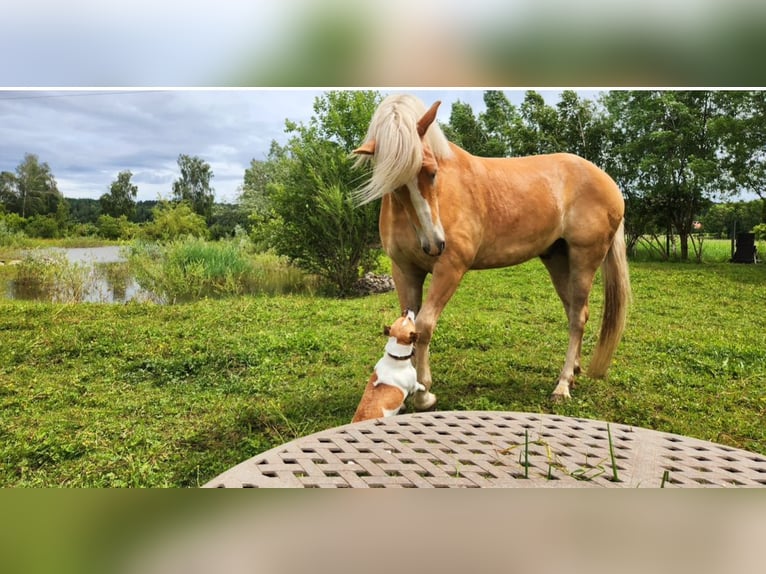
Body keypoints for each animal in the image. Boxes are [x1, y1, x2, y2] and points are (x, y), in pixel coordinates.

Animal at [354, 94, 632, 408]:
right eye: (397, 185)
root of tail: (609, 182)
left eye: (432, 172)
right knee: (577, 312)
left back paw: (562, 386)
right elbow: (406, 325)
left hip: (585, 259)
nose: (435, 243)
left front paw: (424, 394)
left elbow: (423, 326)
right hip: (558, 260)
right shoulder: (404, 271)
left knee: (576, 319)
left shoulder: (450, 268)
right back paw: (573, 373)